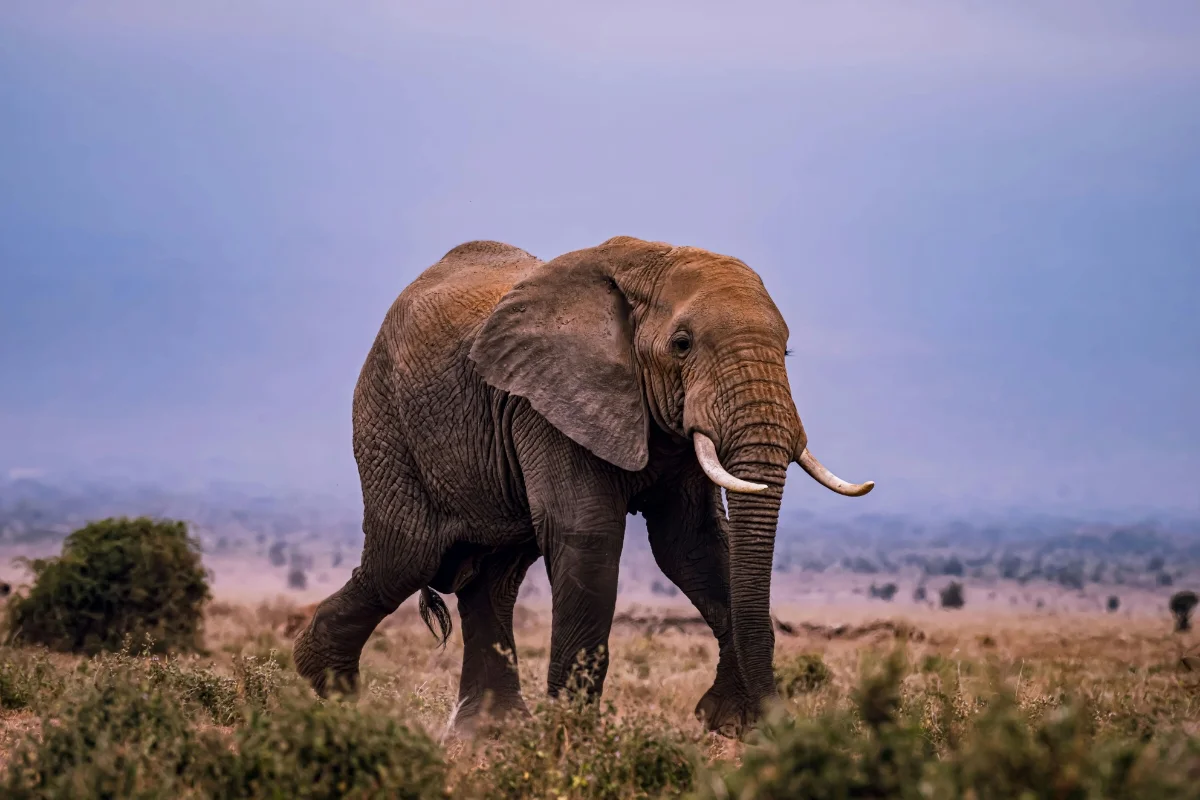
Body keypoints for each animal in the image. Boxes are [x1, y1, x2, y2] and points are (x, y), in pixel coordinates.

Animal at [293, 235, 873, 734]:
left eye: (787, 352)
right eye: (682, 344)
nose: (781, 726)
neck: (650, 263)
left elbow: (694, 546)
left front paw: (732, 726)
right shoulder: (548, 402)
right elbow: (588, 538)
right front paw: (571, 746)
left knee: (492, 580)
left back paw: (490, 737)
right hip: (386, 419)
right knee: (407, 555)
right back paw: (329, 690)